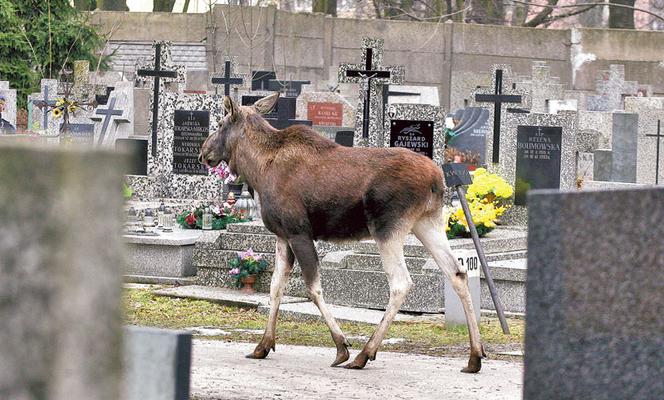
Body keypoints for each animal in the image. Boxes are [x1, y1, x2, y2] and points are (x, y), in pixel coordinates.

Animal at [200, 93, 486, 372]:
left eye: (220, 124)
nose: (204, 152)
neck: (258, 170)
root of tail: (437, 179)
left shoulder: (299, 231)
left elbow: (313, 288)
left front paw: (341, 346)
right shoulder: (282, 235)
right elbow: (275, 287)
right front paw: (263, 345)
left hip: (388, 227)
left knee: (401, 283)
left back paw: (364, 353)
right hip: (427, 223)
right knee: (457, 273)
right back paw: (474, 356)